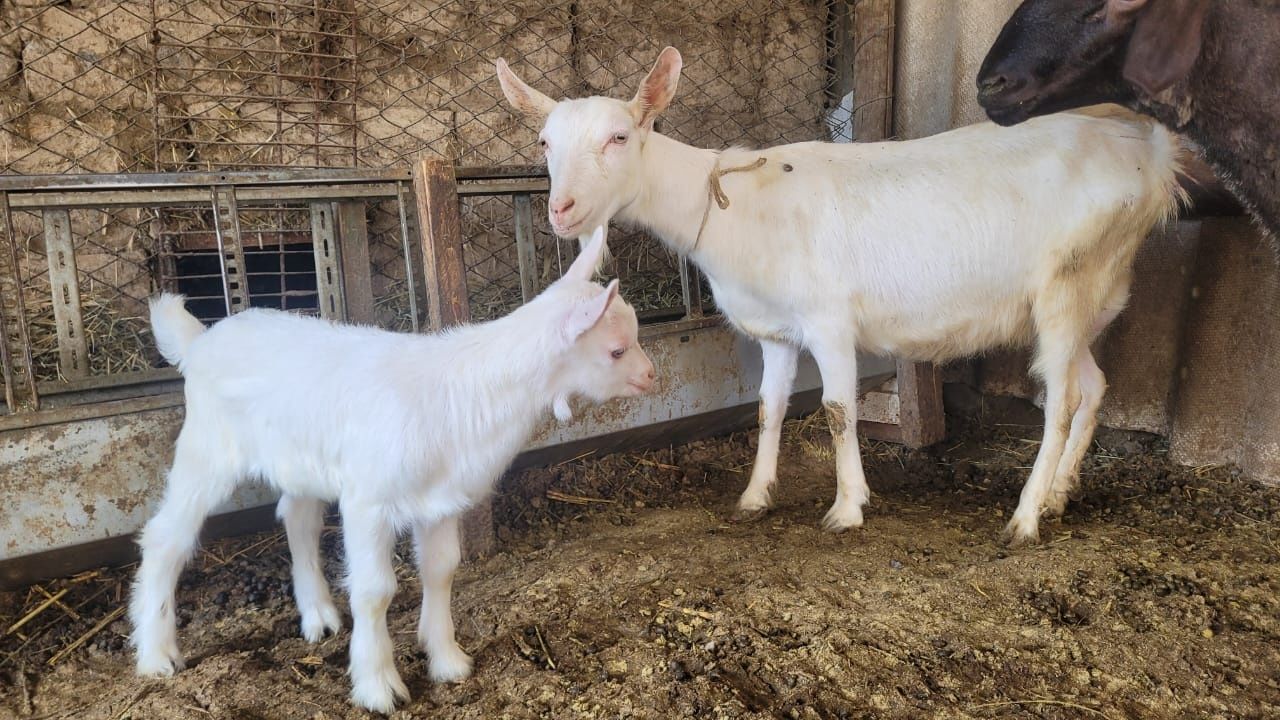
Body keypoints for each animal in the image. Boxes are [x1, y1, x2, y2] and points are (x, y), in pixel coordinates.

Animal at [494, 47, 1182, 543]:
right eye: (544, 143)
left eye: (618, 137)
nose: (562, 210)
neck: (734, 205)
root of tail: (1151, 156)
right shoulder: (774, 330)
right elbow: (768, 408)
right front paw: (755, 496)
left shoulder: (829, 321)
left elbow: (835, 409)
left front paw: (848, 506)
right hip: (1093, 295)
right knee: (1092, 386)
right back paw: (1061, 494)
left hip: (1067, 283)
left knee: (1060, 401)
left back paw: (1026, 517)